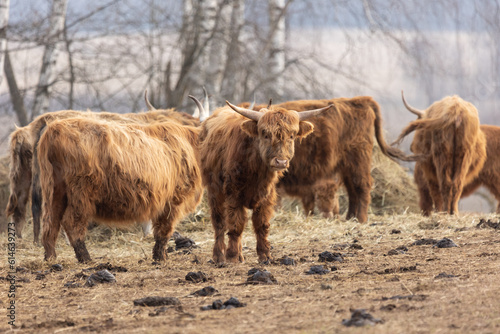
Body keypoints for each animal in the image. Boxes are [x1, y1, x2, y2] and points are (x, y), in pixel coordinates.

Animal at [37, 117, 202, 264]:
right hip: (80, 193)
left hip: (54, 191)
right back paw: (86, 259)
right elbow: (164, 230)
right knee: (71, 222)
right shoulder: (173, 201)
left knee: (50, 223)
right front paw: (160, 258)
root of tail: (55, 129)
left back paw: (50, 259)